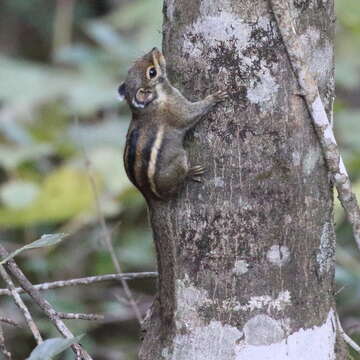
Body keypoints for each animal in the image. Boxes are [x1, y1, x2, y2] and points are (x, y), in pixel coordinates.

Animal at [118, 46, 228, 201]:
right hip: (178, 161)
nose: (154, 49)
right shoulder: (175, 109)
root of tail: (146, 192)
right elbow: (190, 115)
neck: (151, 104)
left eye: (135, 62)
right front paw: (213, 98)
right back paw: (189, 173)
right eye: (152, 72)